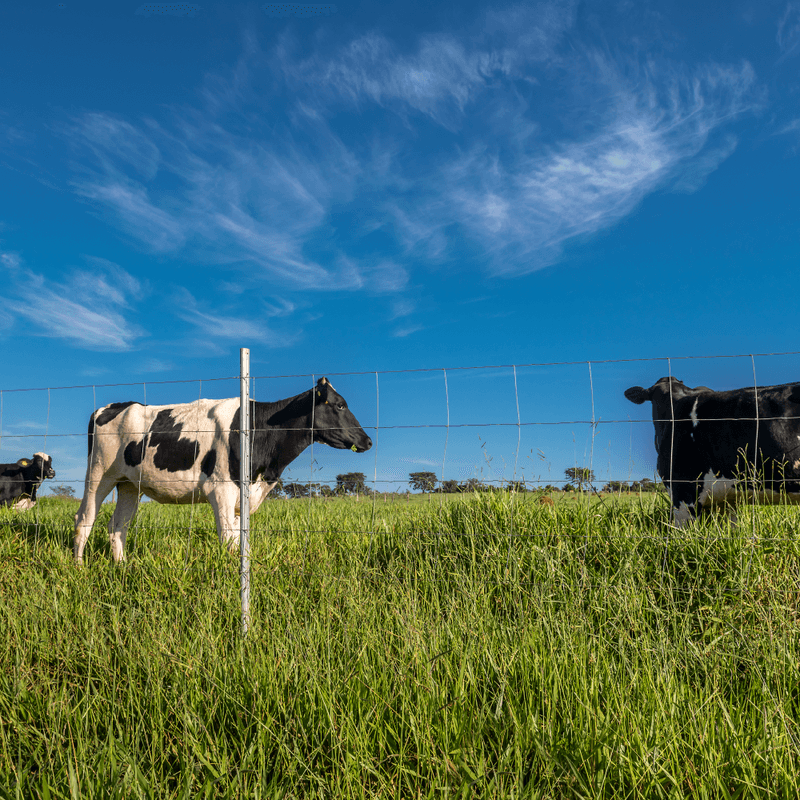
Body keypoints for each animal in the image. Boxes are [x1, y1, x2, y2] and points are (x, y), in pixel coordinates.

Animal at [73, 380, 374, 564]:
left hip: (128, 485)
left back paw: (122, 566)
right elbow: (229, 541)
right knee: (84, 519)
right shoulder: (222, 491)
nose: (368, 440)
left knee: (117, 525)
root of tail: (113, 406)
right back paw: (78, 568)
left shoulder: (244, 496)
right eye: (339, 405)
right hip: (99, 475)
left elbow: (242, 542)